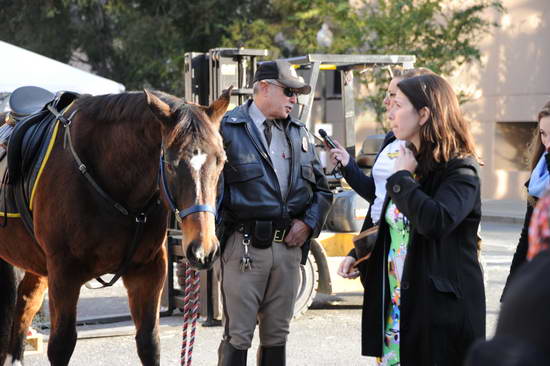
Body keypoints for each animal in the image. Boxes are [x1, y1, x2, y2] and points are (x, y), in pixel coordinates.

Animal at [0, 87, 231, 364]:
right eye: (170, 164)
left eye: (221, 160)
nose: (203, 250)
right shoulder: (64, 272)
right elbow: (61, 345)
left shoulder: (147, 271)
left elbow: (149, 343)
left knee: (26, 304)